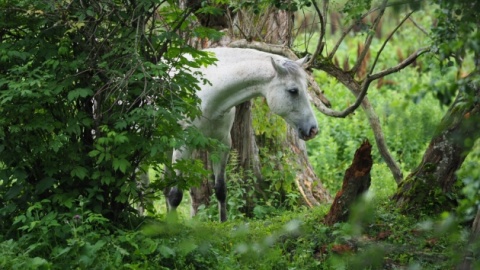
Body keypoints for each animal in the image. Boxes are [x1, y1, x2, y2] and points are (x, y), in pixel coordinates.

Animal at [166, 48, 318, 221]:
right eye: (293, 91)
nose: (313, 129)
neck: (206, 93)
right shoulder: (183, 145)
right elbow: (175, 196)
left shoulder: (222, 144)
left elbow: (220, 190)